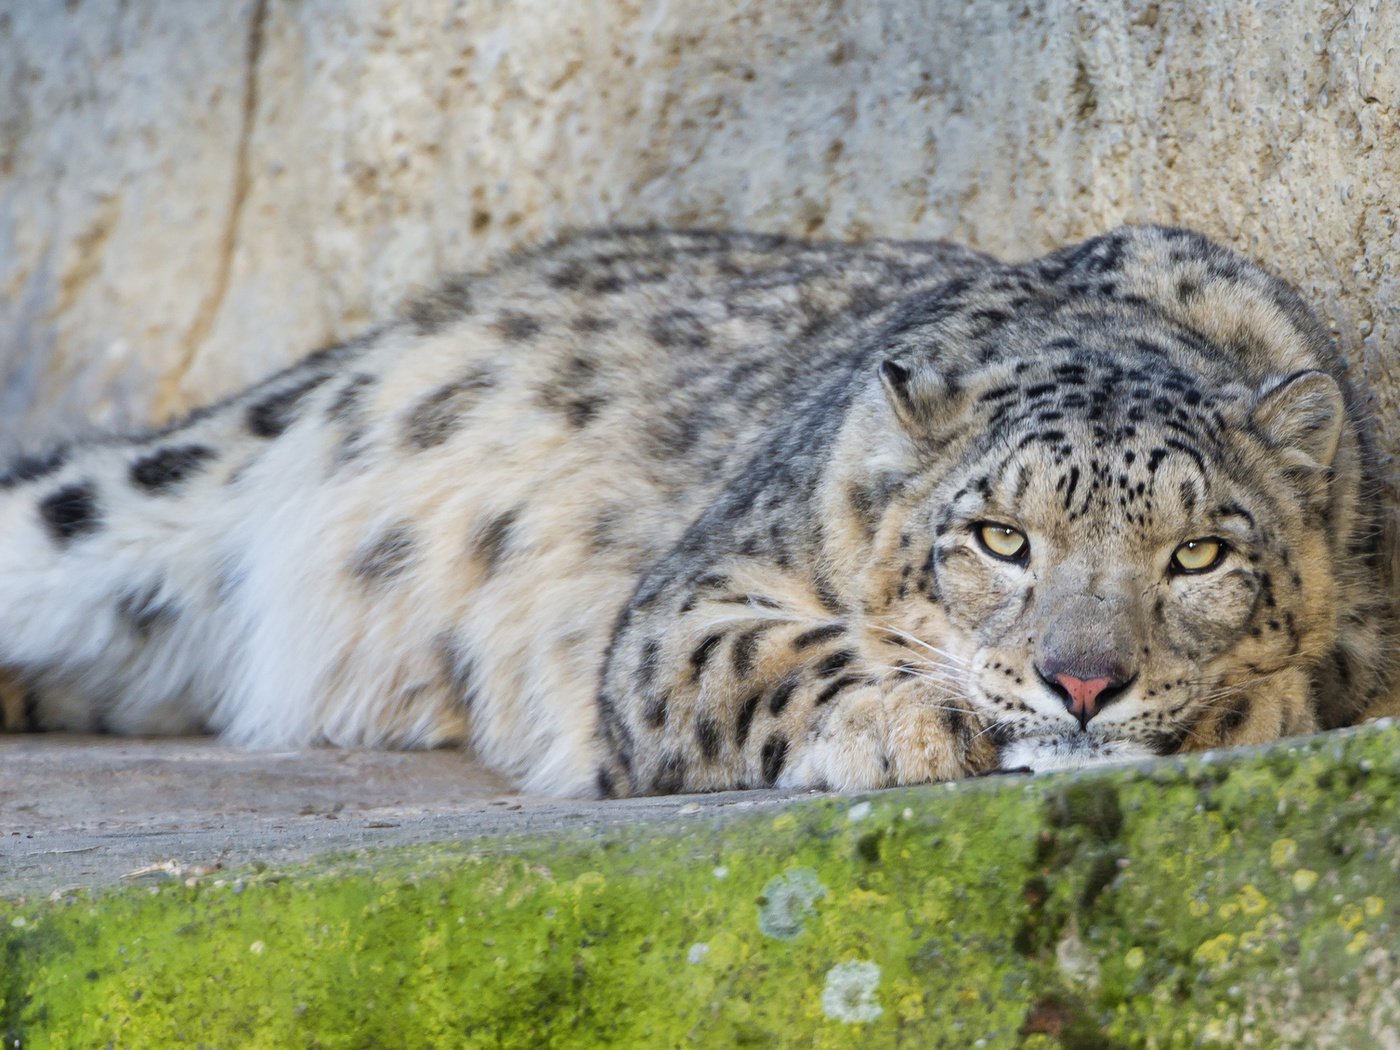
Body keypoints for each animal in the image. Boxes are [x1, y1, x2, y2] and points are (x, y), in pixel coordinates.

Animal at [2, 224, 1400, 795]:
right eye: (998, 539)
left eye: (1199, 554)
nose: (1082, 683)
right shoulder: (685, 602)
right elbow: (767, 656)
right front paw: (909, 722)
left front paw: (1232, 702)